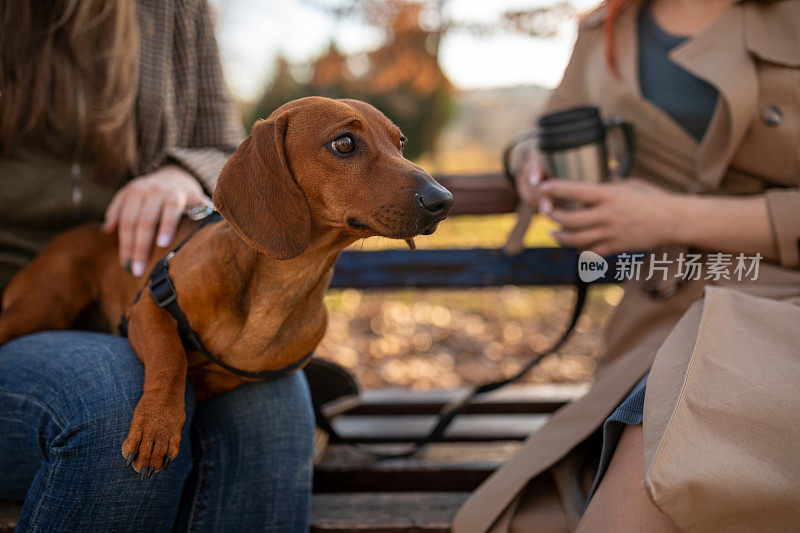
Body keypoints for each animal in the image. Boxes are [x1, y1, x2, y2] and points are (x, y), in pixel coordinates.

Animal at [0, 97, 450, 476]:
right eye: (344, 143)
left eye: (400, 143)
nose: (442, 200)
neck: (280, 286)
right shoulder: (148, 305)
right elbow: (171, 359)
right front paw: (156, 427)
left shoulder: (249, 376)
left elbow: (207, 377)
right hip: (43, 306)